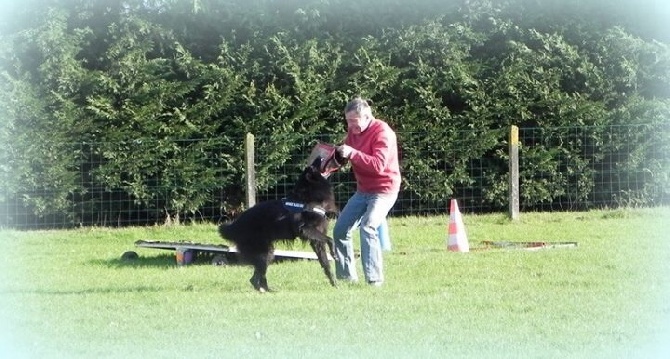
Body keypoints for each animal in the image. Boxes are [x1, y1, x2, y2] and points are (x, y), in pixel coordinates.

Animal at [220, 158, 342, 292]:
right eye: (314, 165)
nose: (319, 157)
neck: (308, 197)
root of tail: (235, 226)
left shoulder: (317, 241)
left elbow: (325, 264)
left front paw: (334, 284)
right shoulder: (305, 229)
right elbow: (330, 239)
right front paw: (334, 253)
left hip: (268, 252)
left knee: (257, 277)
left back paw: (269, 290)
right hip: (264, 253)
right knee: (255, 279)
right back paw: (264, 291)